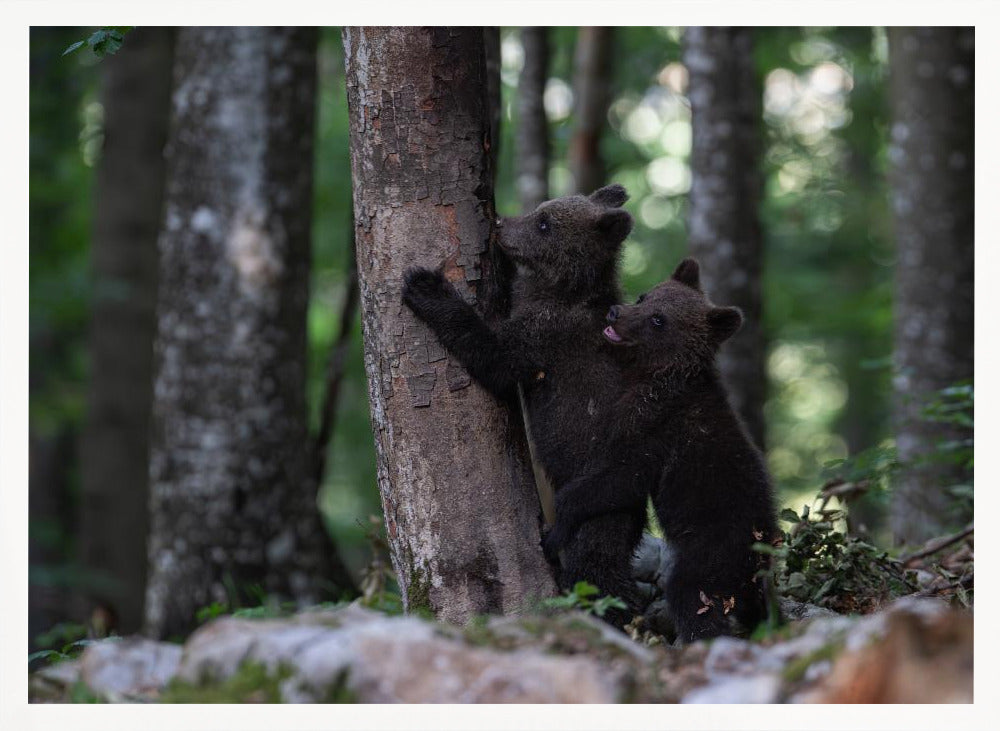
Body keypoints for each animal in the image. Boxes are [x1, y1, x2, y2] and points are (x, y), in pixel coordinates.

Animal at [401, 184, 649, 627]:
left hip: (599, 495)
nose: (501, 225)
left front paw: (425, 285)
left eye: (545, 223)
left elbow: (494, 356)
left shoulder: (544, 337)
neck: (561, 290)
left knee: (596, 562)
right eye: (540, 211)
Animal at [540, 258, 778, 643]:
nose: (615, 312)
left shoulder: (655, 429)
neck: (658, 376)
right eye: (645, 296)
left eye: (658, 320)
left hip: (713, 552)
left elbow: (620, 478)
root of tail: (760, 559)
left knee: (691, 595)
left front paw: (556, 528)